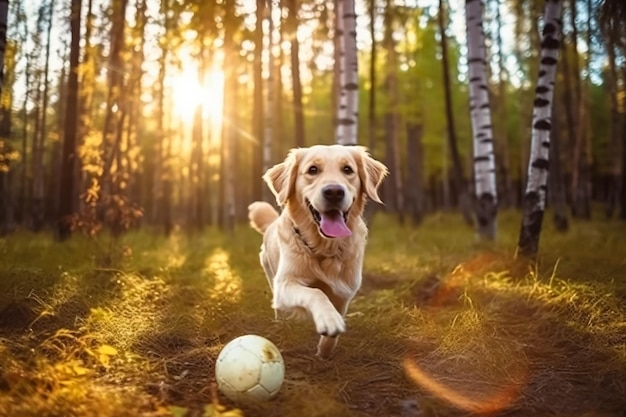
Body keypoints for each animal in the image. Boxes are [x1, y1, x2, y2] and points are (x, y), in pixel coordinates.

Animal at [247, 145, 386, 356]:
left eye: (347, 170)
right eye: (312, 170)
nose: (334, 192)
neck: (324, 247)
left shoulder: (345, 290)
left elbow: (336, 318)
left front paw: (324, 351)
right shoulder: (285, 283)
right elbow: (316, 293)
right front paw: (328, 319)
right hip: (271, 275)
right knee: (281, 309)